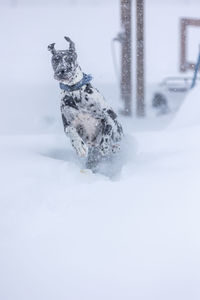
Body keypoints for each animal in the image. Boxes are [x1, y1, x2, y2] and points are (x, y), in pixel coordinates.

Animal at [48, 36, 123, 170]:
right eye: (55, 59)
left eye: (70, 58)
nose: (62, 71)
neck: (75, 92)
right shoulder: (67, 124)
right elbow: (71, 131)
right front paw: (79, 147)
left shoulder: (109, 116)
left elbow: (107, 132)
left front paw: (106, 146)